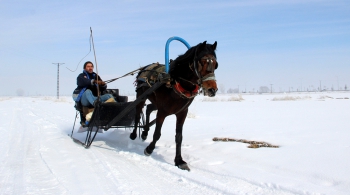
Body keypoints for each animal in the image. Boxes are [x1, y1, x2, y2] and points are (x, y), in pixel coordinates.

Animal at [130, 40, 217, 171]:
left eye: (216, 64)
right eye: (202, 62)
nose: (212, 90)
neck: (175, 82)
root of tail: (143, 68)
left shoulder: (182, 113)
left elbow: (179, 137)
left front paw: (179, 161)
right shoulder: (162, 112)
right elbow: (157, 134)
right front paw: (149, 149)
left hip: (156, 103)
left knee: (149, 108)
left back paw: (145, 132)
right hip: (141, 96)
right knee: (137, 113)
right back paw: (134, 134)